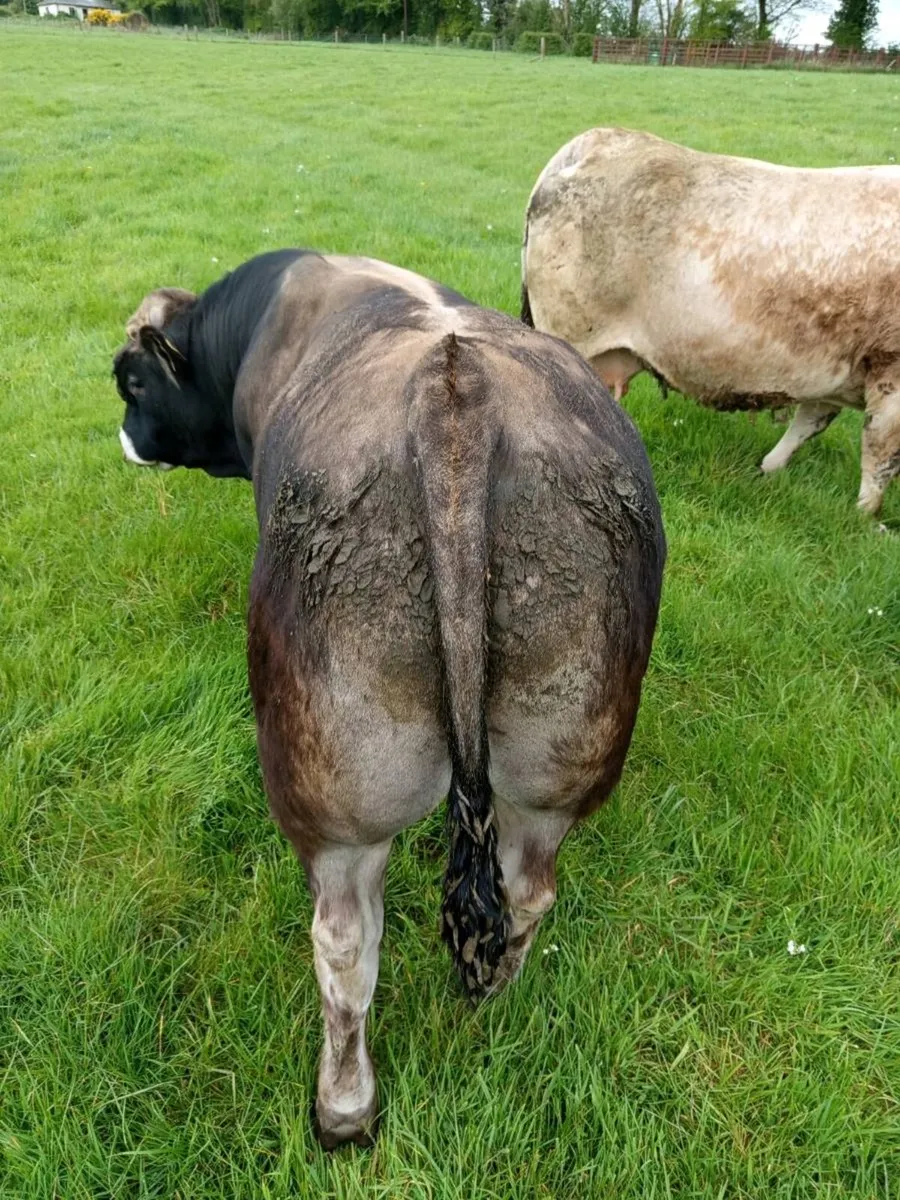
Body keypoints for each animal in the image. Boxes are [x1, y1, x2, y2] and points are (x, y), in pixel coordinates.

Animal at [112, 249, 665, 1148]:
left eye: (132, 382)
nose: (126, 438)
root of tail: (458, 393)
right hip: (563, 754)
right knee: (526, 891)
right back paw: (491, 1007)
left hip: (335, 795)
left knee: (343, 942)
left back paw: (343, 1108)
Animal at [521, 127, 900, 515]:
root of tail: (595, 139)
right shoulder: (889, 370)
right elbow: (880, 452)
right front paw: (866, 516)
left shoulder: (834, 371)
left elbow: (810, 421)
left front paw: (768, 470)